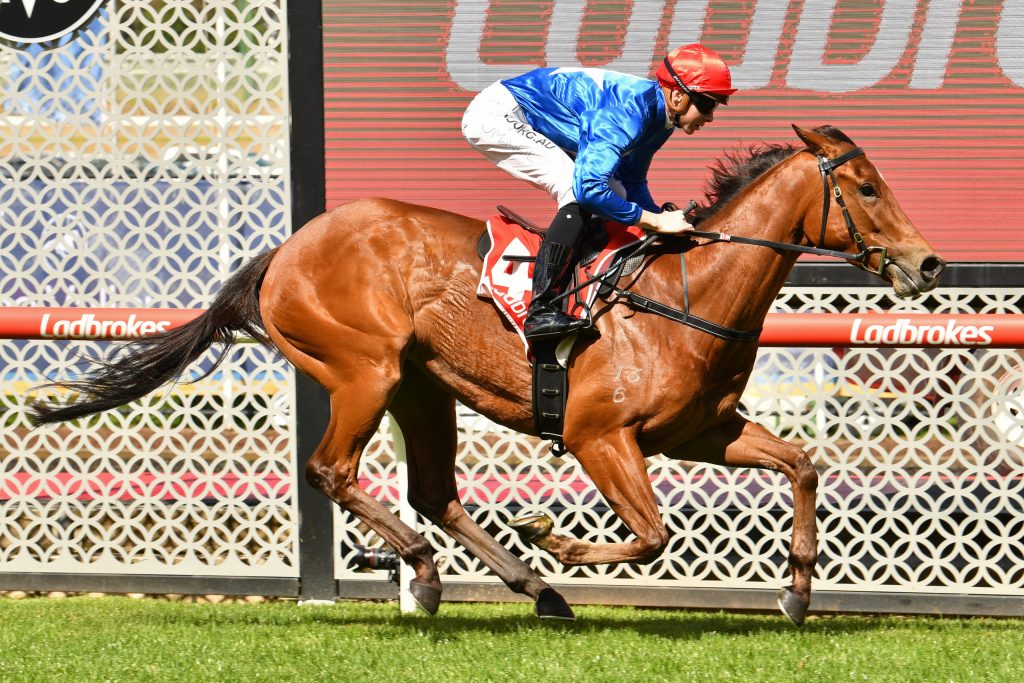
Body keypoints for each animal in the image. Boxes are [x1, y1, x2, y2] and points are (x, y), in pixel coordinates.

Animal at [32, 125, 945, 626]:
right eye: (866, 187)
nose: (927, 261)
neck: (686, 296)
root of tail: (285, 247)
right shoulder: (598, 434)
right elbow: (653, 533)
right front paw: (554, 535)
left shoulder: (704, 432)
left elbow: (802, 464)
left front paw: (797, 592)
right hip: (362, 370)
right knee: (332, 469)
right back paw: (429, 568)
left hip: (421, 387)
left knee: (433, 490)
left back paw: (530, 587)